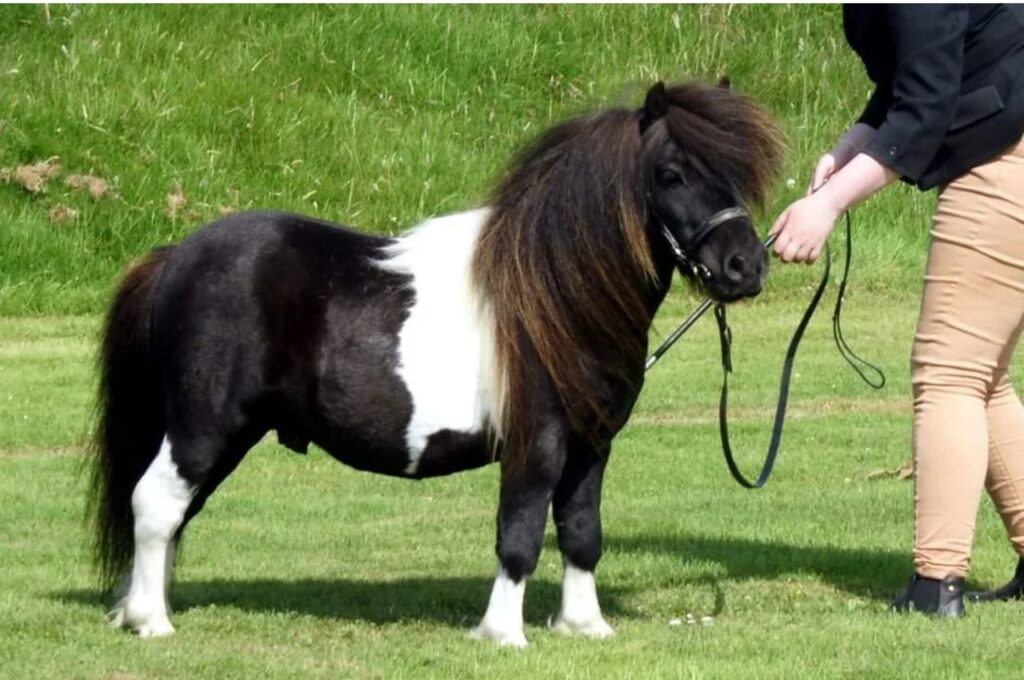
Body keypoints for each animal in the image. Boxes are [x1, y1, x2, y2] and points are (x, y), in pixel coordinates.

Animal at [89, 80, 783, 646]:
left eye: (736, 173)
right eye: (671, 173)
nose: (746, 267)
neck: (554, 295)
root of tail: (176, 256)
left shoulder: (592, 444)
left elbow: (581, 531)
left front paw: (585, 626)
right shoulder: (538, 442)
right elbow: (519, 534)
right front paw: (503, 633)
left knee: (175, 511)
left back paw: (139, 608)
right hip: (204, 426)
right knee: (156, 502)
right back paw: (150, 621)